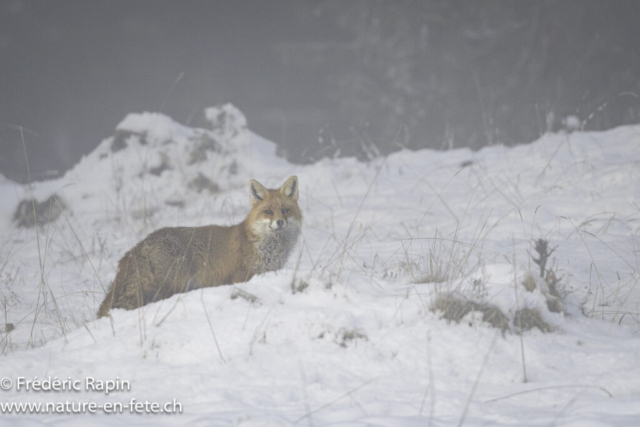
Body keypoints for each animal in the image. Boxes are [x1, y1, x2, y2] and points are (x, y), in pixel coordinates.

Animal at [97, 175, 301, 318]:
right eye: (268, 212)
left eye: (285, 210)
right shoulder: (241, 276)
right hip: (176, 285)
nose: (280, 222)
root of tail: (140, 244)